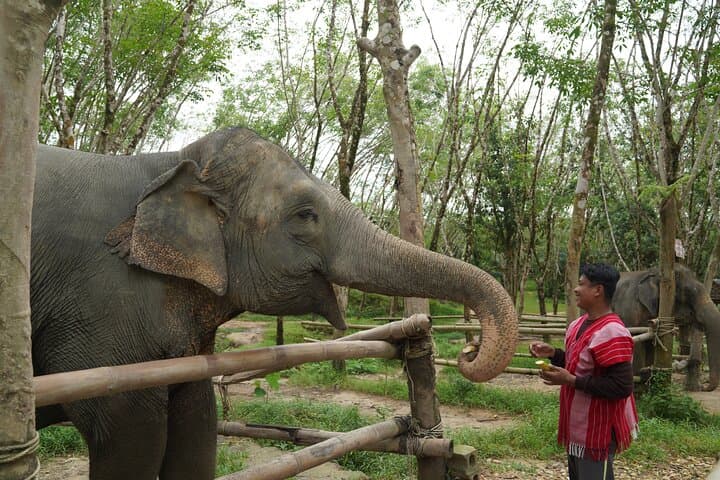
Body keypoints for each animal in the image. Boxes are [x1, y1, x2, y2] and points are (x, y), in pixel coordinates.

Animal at [30, 127, 518, 479]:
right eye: (305, 215)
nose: (470, 350)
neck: (169, 161)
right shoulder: (100, 305)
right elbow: (131, 433)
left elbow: (197, 421)